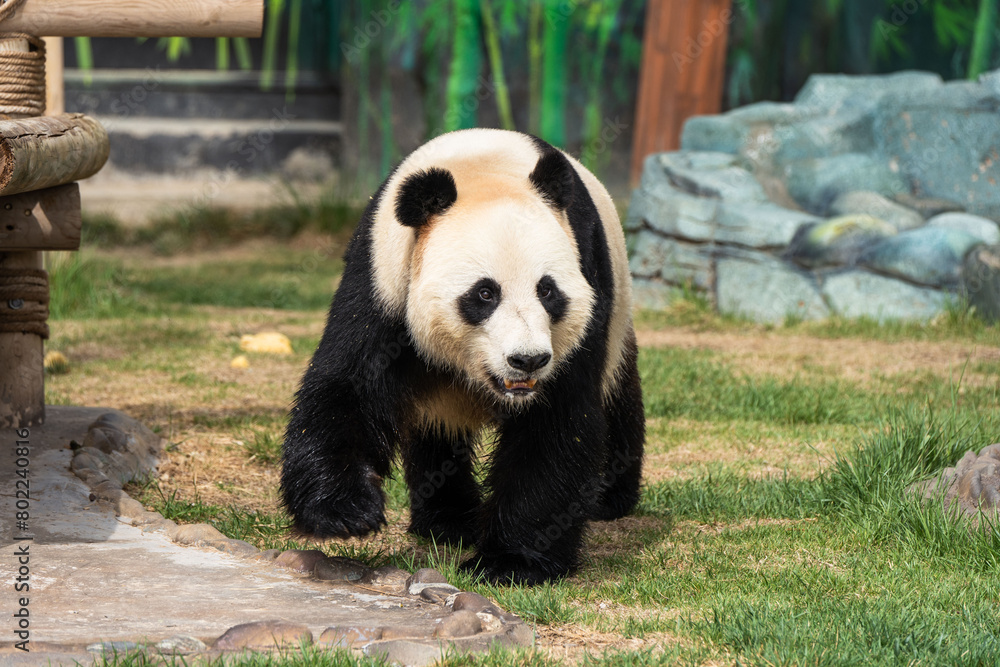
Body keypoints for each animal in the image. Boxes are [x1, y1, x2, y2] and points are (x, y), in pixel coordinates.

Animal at [281, 128, 644, 585]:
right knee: (437, 430)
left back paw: (610, 498)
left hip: (619, 313)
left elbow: (557, 423)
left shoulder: (586, 278)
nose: (527, 360)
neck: (484, 169)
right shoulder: (383, 280)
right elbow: (349, 383)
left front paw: (510, 562)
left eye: (547, 290)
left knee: (618, 397)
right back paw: (448, 520)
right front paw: (345, 511)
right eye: (484, 293)